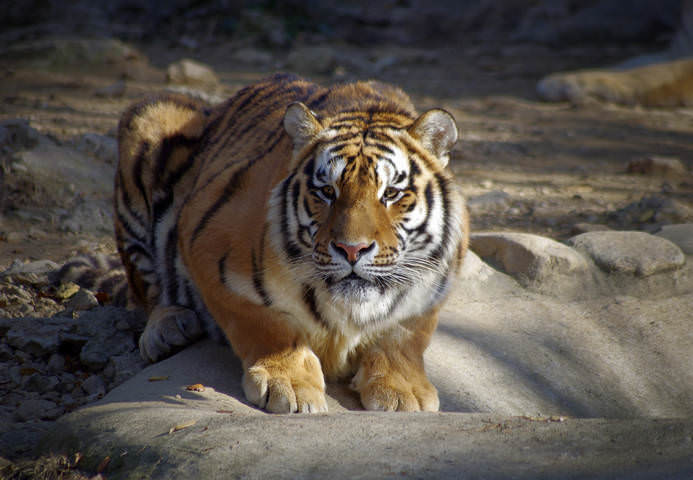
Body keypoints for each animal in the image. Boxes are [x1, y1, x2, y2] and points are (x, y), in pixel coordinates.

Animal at [114, 73, 468, 413]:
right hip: (149, 115)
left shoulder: (433, 285)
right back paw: (167, 328)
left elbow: (403, 334)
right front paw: (288, 383)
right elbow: (265, 322)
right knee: (146, 286)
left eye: (391, 193)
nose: (352, 250)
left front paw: (403, 391)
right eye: (327, 192)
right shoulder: (207, 243)